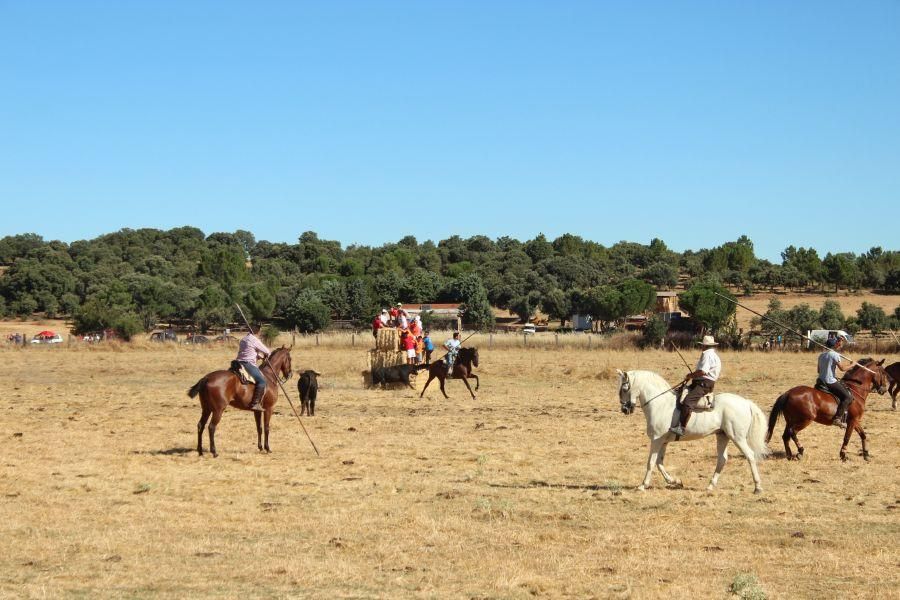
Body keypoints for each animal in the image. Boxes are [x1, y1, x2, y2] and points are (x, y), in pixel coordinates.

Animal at [620, 370, 768, 492]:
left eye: (624, 388)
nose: (624, 410)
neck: (661, 404)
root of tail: (746, 402)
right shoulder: (663, 441)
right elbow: (659, 462)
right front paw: (675, 481)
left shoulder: (656, 440)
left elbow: (651, 462)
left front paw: (642, 485)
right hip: (722, 436)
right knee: (722, 459)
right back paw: (710, 486)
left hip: (737, 438)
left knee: (749, 455)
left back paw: (758, 487)